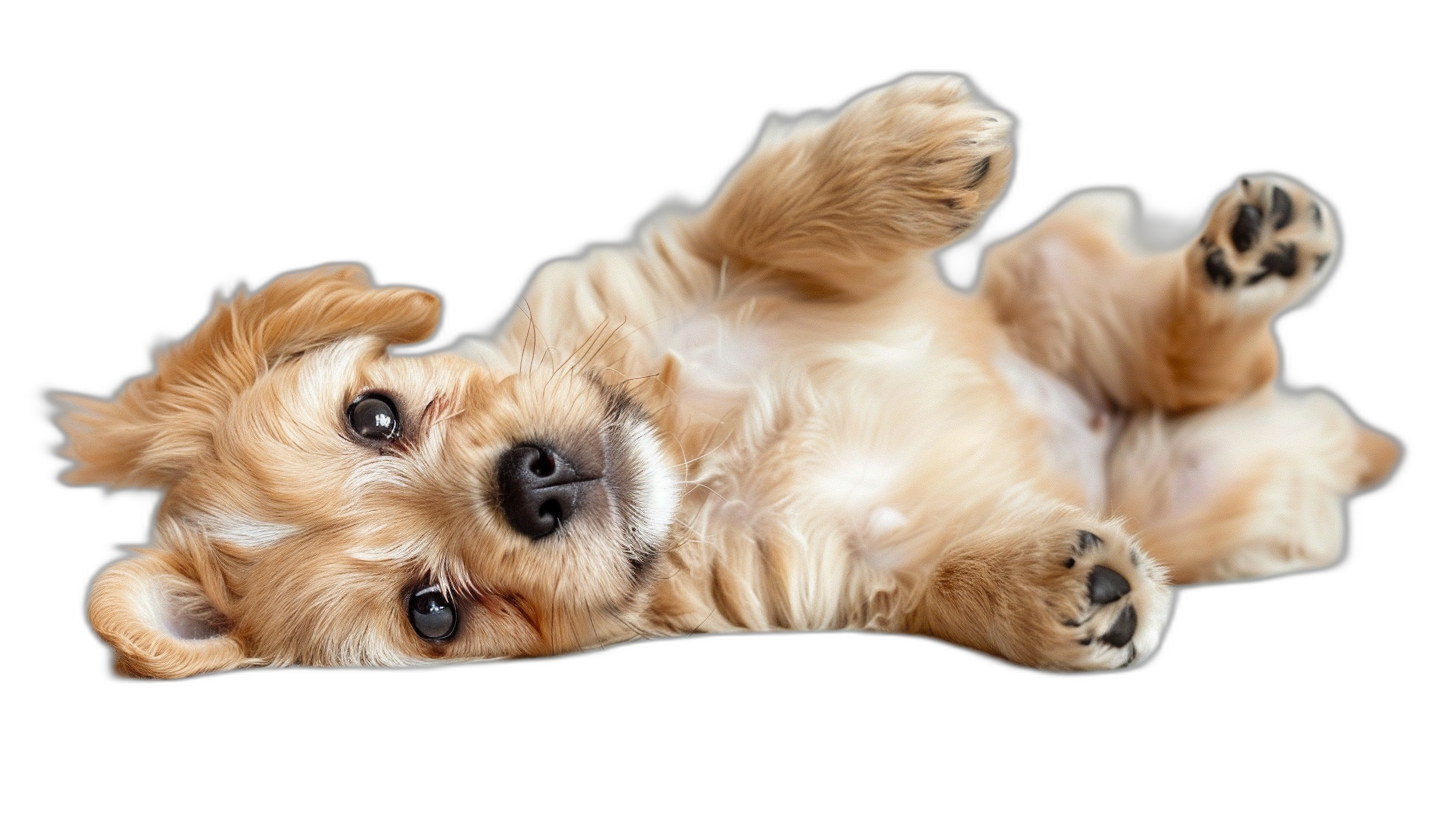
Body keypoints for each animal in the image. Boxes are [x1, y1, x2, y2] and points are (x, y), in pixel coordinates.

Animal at [51, 76, 1403, 679]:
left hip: (1053, 280)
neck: (697, 458)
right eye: (433, 611)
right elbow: (940, 588)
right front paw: (1055, 591)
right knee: (1213, 379)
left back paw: (1256, 246)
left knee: (1190, 341)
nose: (534, 484)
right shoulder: (848, 574)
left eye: (373, 412)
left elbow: (755, 216)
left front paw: (905, 149)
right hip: (1218, 480)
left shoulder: (669, 266)